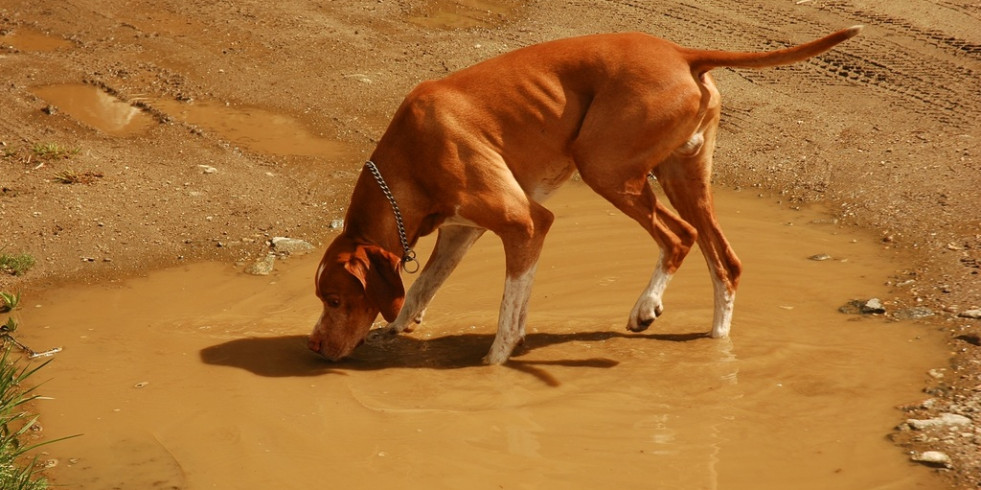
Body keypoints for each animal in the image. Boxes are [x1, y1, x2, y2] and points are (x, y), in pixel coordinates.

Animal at [310, 26, 860, 364]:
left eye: (335, 299)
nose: (314, 346)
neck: (409, 155)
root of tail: (682, 53)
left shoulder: (526, 223)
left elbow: (509, 312)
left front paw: (494, 364)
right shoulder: (460, 233)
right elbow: (423, 287)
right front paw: (396, 329)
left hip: (606, 168)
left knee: (678, 238)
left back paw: (646, 307)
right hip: (683, 178)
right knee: (725, 260)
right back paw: (716, 343)